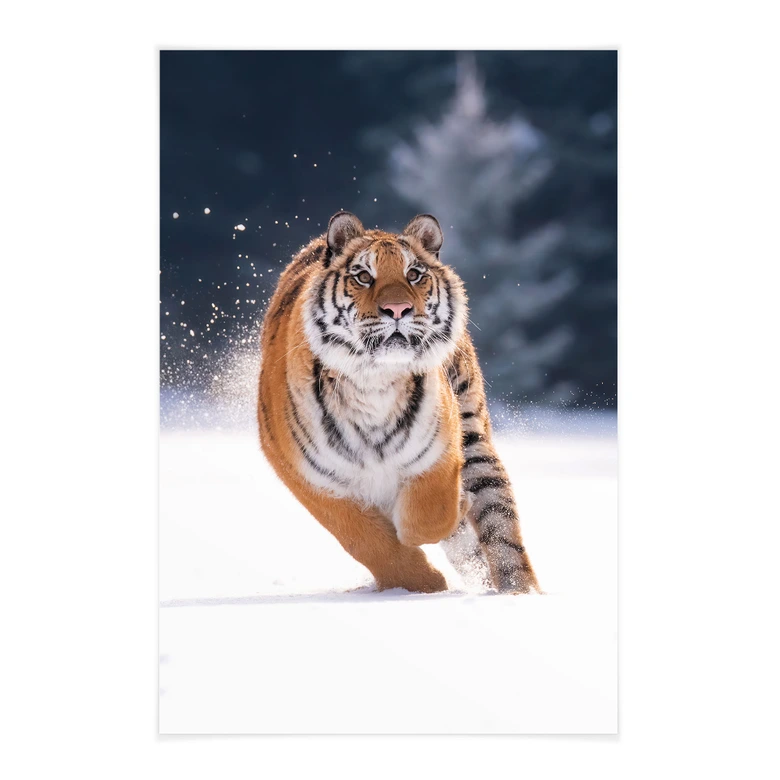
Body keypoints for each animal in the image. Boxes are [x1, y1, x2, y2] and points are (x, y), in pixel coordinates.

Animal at [257, 211, 540, 594]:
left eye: (414, 274)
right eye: (363, 276)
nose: (397, 309)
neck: (374, 380)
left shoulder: (440, 449)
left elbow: (429, 516)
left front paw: (455, 508)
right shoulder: (308, 476)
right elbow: (366, 540)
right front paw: (424, 583)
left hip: (475, 437)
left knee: (502, 531)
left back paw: (521, 593)